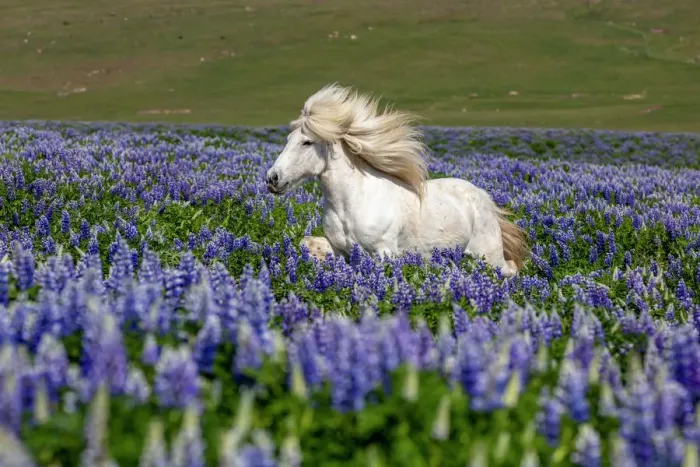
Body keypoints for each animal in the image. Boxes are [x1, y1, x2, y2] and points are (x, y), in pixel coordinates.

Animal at [265, 84, 529, 277]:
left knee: (511, 271)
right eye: (288, 138)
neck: (351, 204)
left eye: (307, 142)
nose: (272, 178)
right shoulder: (341, 251)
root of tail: (483, 197)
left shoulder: (383, 253)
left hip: (488, 256)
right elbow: (313, 249)